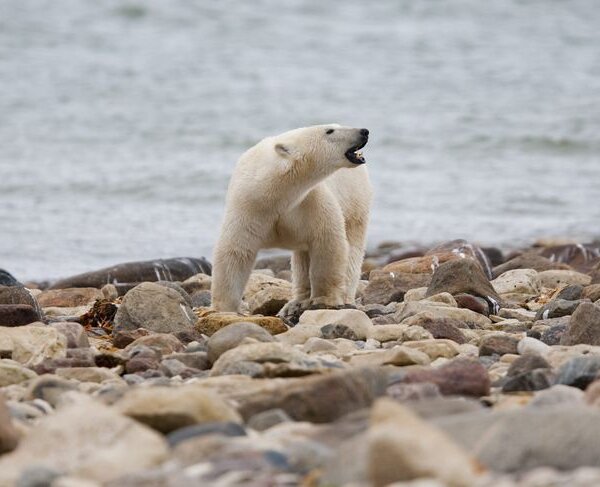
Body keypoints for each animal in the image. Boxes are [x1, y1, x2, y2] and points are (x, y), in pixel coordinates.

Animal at [211, 124, 370, 314]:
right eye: (329, 130)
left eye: (335, 126)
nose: (364, 131)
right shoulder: (249, 206)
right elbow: (236, 251)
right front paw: (224, 308)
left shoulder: (310, 201)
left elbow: (327, 243)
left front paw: (325, 299)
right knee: (302, 257)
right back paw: (297, 302)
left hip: (355, 202)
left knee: (352, 248)